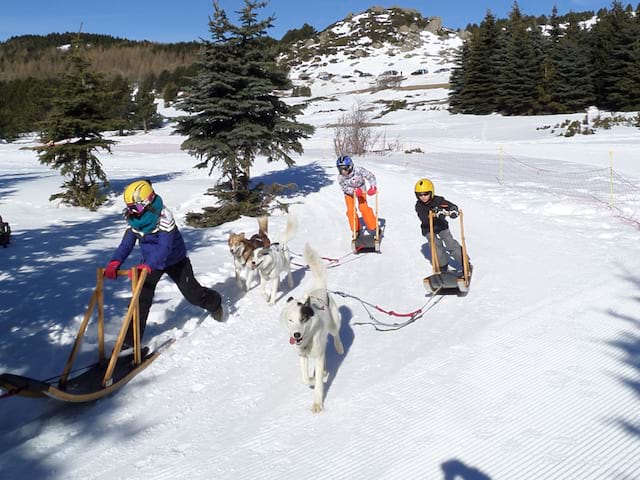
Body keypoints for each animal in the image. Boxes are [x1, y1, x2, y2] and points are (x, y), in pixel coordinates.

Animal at [282, 244, 344, 412]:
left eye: (302, 319)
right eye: (290, 320)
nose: (296, 335)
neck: (307, 341)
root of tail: (319, 289)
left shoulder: (317, 355)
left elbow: (317, 384)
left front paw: (317, 403)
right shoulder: (302, 356)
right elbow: (305, 379)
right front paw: (314, 377)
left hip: (332, 324)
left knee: (335, 333)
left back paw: (339, 347)